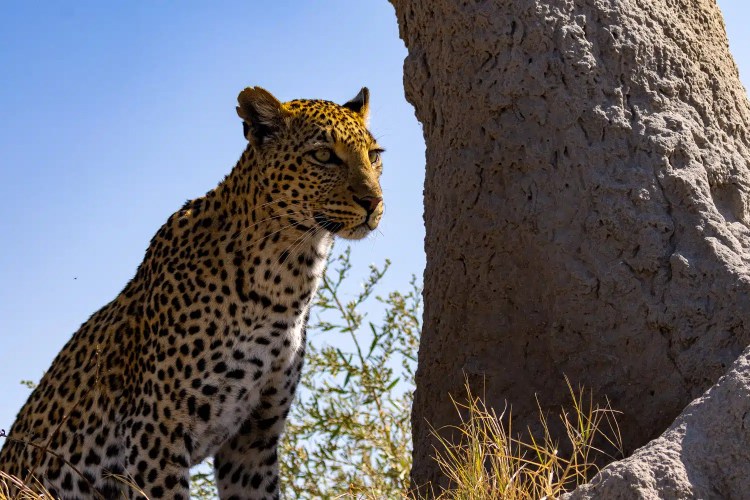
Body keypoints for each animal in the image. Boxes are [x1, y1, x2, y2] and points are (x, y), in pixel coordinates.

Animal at [0, 86, 384, 500]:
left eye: (374, 155)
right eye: (323, 155)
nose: (374, 202)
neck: (288, 277)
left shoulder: (254, 439)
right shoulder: (156, 430)